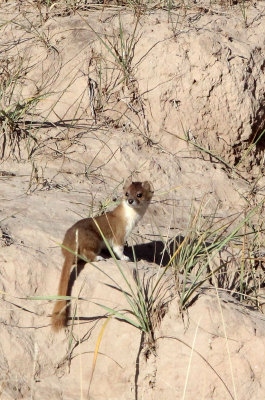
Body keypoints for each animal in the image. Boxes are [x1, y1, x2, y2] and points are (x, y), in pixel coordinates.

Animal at [51, 180, 153, 332]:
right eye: (127, 193)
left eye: (139, 194)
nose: (130, 200)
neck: (130, 219)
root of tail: (70, 243)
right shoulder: (119, 234)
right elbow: (118, 249)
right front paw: (126, 258)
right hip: (93, 239)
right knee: (86, 254)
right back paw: (99, 257)